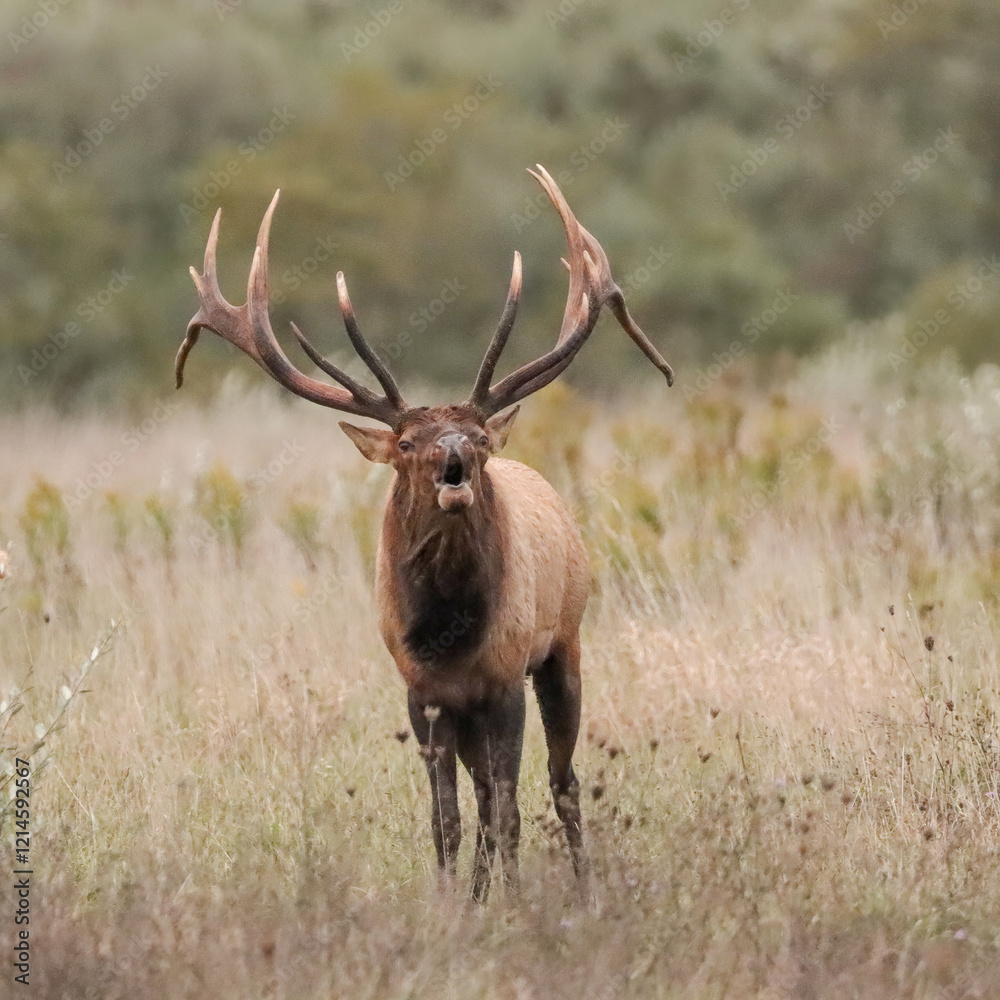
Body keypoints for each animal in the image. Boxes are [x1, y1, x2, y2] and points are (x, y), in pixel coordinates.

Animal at [175, 165, 672, 901]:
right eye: (408, 442)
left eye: (476, 437)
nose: (455, 458)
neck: (447, 632)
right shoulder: (423, 695)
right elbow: (447, 820)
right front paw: (453, 904)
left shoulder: (503, 678)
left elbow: (506, 808)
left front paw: (508, 903)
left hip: (565, 646)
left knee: (561, 783)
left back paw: (583, 889)